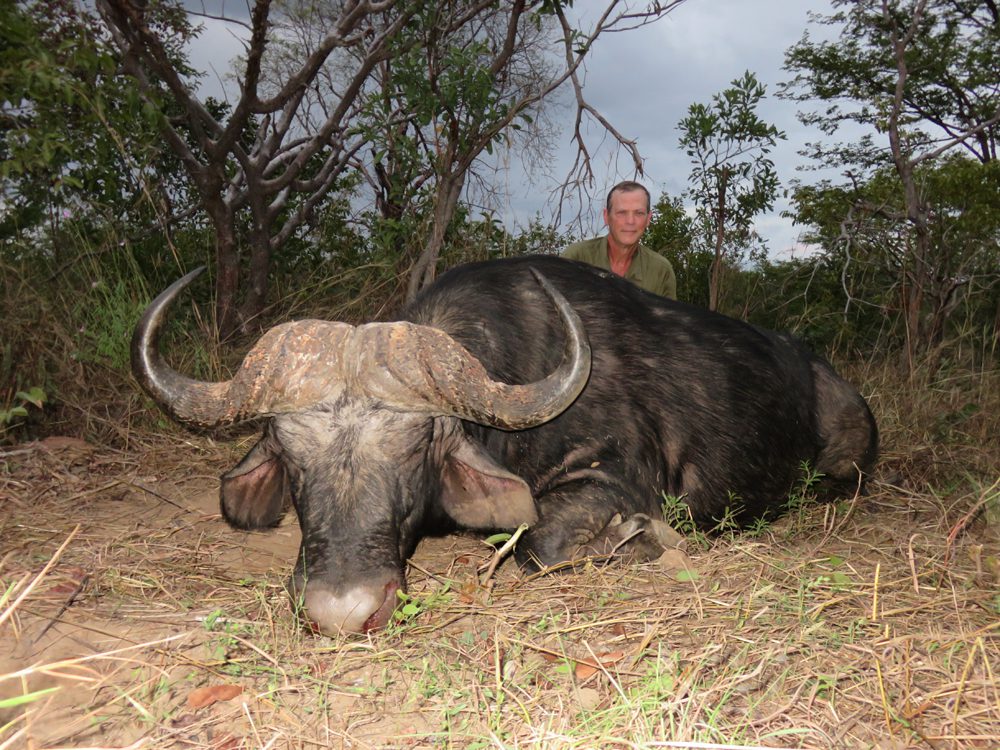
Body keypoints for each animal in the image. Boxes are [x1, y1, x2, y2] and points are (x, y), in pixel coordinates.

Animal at [132, 256, 877, 634]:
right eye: (290, 456)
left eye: (415, 447)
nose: (343, 613)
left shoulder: (614, 480)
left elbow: (540, 545)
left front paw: (643, 540)